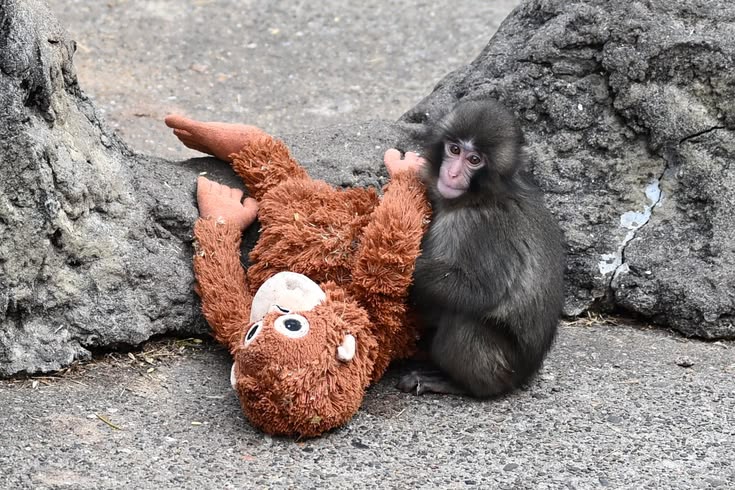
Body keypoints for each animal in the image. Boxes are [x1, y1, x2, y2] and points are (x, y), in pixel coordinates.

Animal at [397, 99, 565, 398]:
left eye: (474, 160)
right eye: (454, 149)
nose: (452, 173)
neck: (477, 198)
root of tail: (525, 375)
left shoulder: (482, 228)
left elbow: (480, 290)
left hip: (500, 366)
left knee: (464, 318)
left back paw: (456, 384)